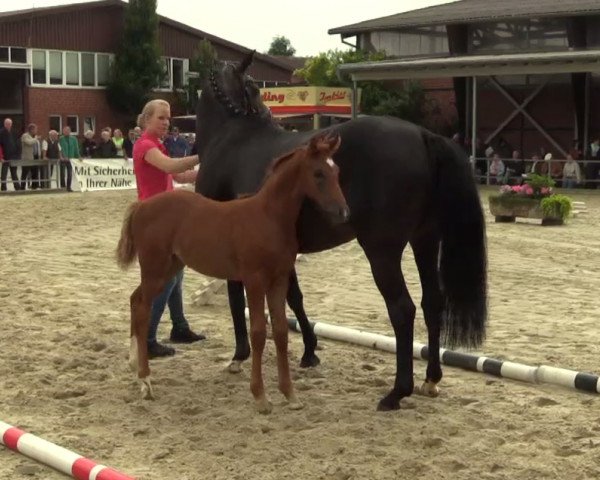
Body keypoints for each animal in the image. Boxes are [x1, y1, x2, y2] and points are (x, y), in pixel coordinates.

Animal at [116, 132, 346, 412]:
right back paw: (145, 381)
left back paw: (133, 365)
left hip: (169, 267)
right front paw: (260, 397)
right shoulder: (254, 280)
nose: (343, 212)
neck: (268, 217)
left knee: (135, 300)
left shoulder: (279, 279)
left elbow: (280, 332)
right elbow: (258, 332)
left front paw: (290, 395)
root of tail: (141, 206)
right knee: (142, 308)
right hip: (154, 268)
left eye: (336, 171)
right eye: (318, 173)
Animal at [195, 53, 486, 412]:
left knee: (403, 309)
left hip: (382, 250)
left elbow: (239, 297)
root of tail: (422, 135)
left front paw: (239, 355)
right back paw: (430, 380)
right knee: (432, 302)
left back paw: (396, 392)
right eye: (253, 88)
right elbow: (293, 298)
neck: (232, 137)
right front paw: (309, 351)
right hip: (425, 241)